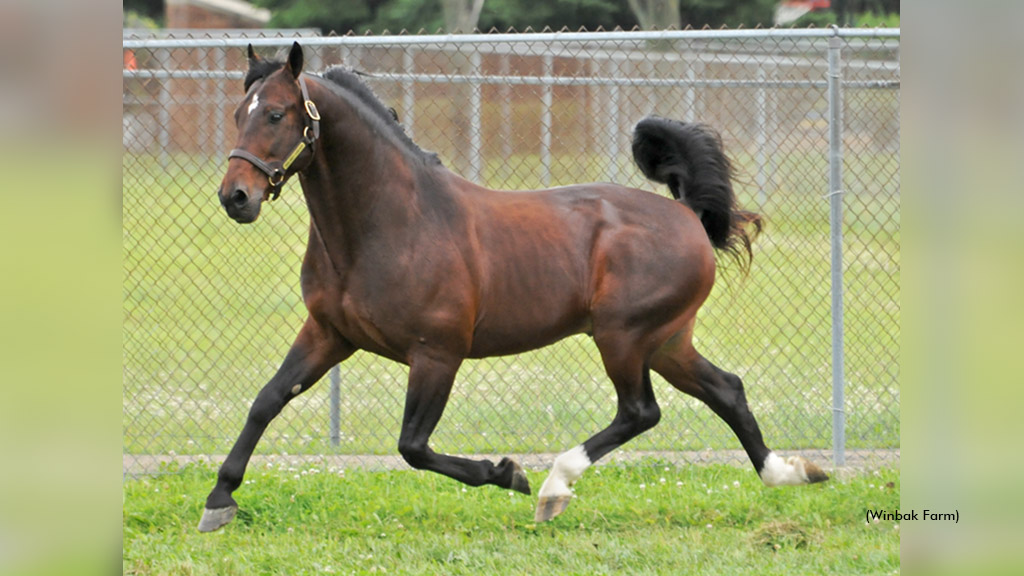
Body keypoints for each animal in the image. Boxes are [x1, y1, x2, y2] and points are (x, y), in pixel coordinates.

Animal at [199, 42, 828, 532]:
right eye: (235, 113)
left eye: (276, 114)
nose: (235, 197)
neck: (391, 222)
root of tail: (688, 215)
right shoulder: (329, 334)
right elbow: (266, 401)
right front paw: (219, 500)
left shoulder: (437, 353)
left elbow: (413, 446)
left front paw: (508, 473)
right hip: (667, 341)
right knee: (727, 390)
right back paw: (790, 472)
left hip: (624, 336)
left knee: (640, 411)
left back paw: (553, 487)